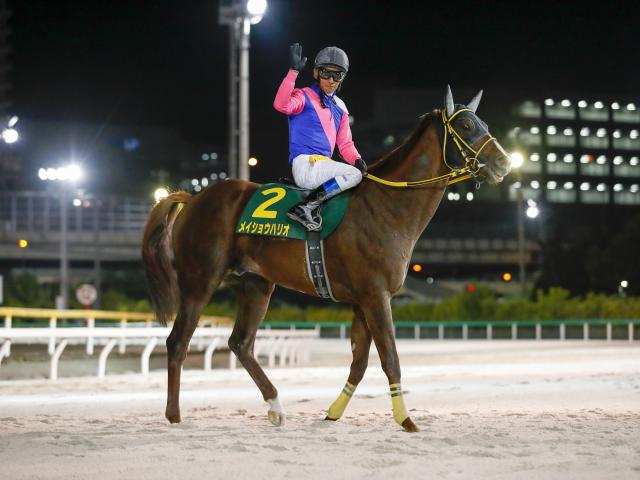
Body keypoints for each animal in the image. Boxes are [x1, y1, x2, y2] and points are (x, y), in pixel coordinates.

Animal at [141, 86, 512, 432]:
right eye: (465, 125)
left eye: (483, 123)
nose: (504, 162)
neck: (386, 205)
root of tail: (194, 198)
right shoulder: (377, 296)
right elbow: (390, 358)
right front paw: (406, 419)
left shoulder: (363, 300)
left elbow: (359, 362)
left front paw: (333, 413)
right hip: (200, 281)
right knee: (178, 342)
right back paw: (174, 415)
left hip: (256, 285)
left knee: (241, 344)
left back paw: (276, 406)